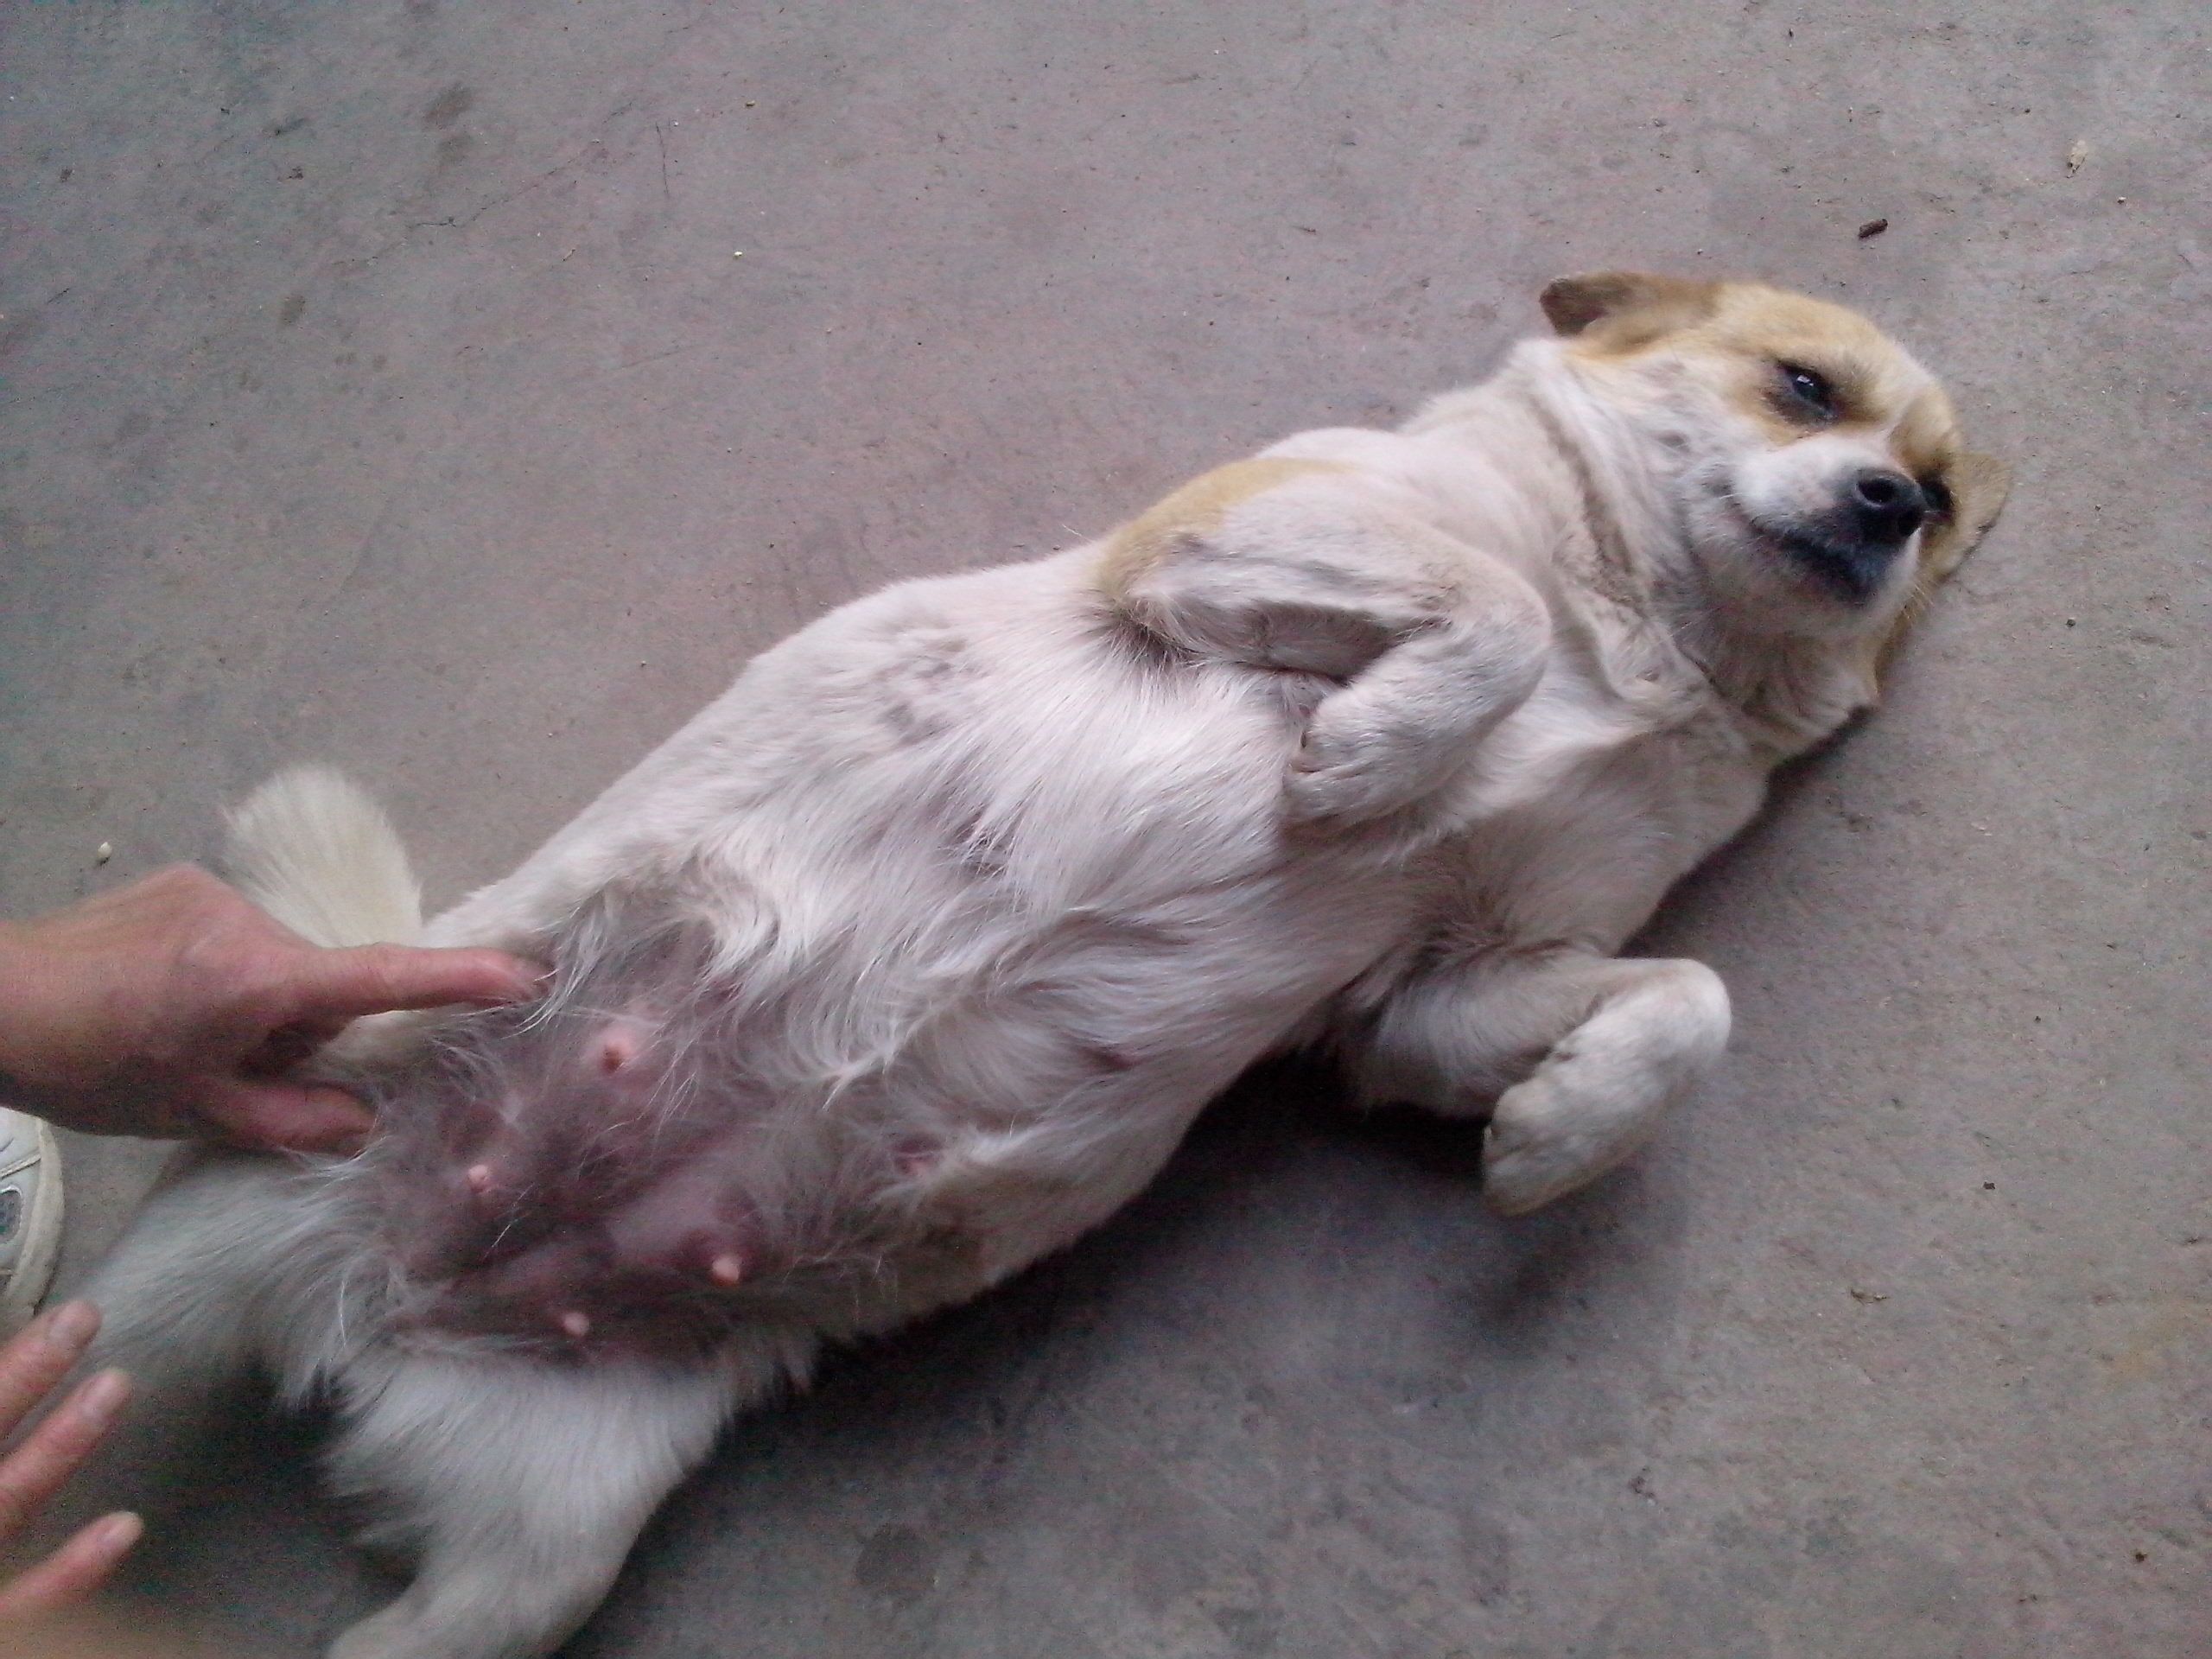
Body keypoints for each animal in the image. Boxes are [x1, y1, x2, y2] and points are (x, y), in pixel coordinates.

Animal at [43, 273, 2006, 1659]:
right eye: (1805, 387)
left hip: (529, 1568)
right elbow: (1489, 611)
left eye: (1936, 491)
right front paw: (1366, 761)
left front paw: (1548, 1140)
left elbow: (1684, 1008)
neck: (1652, 642)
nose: (1888, 505)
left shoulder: (1439, 993)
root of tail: (387, 1291)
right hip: (152, 1295)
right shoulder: (1226, 548)